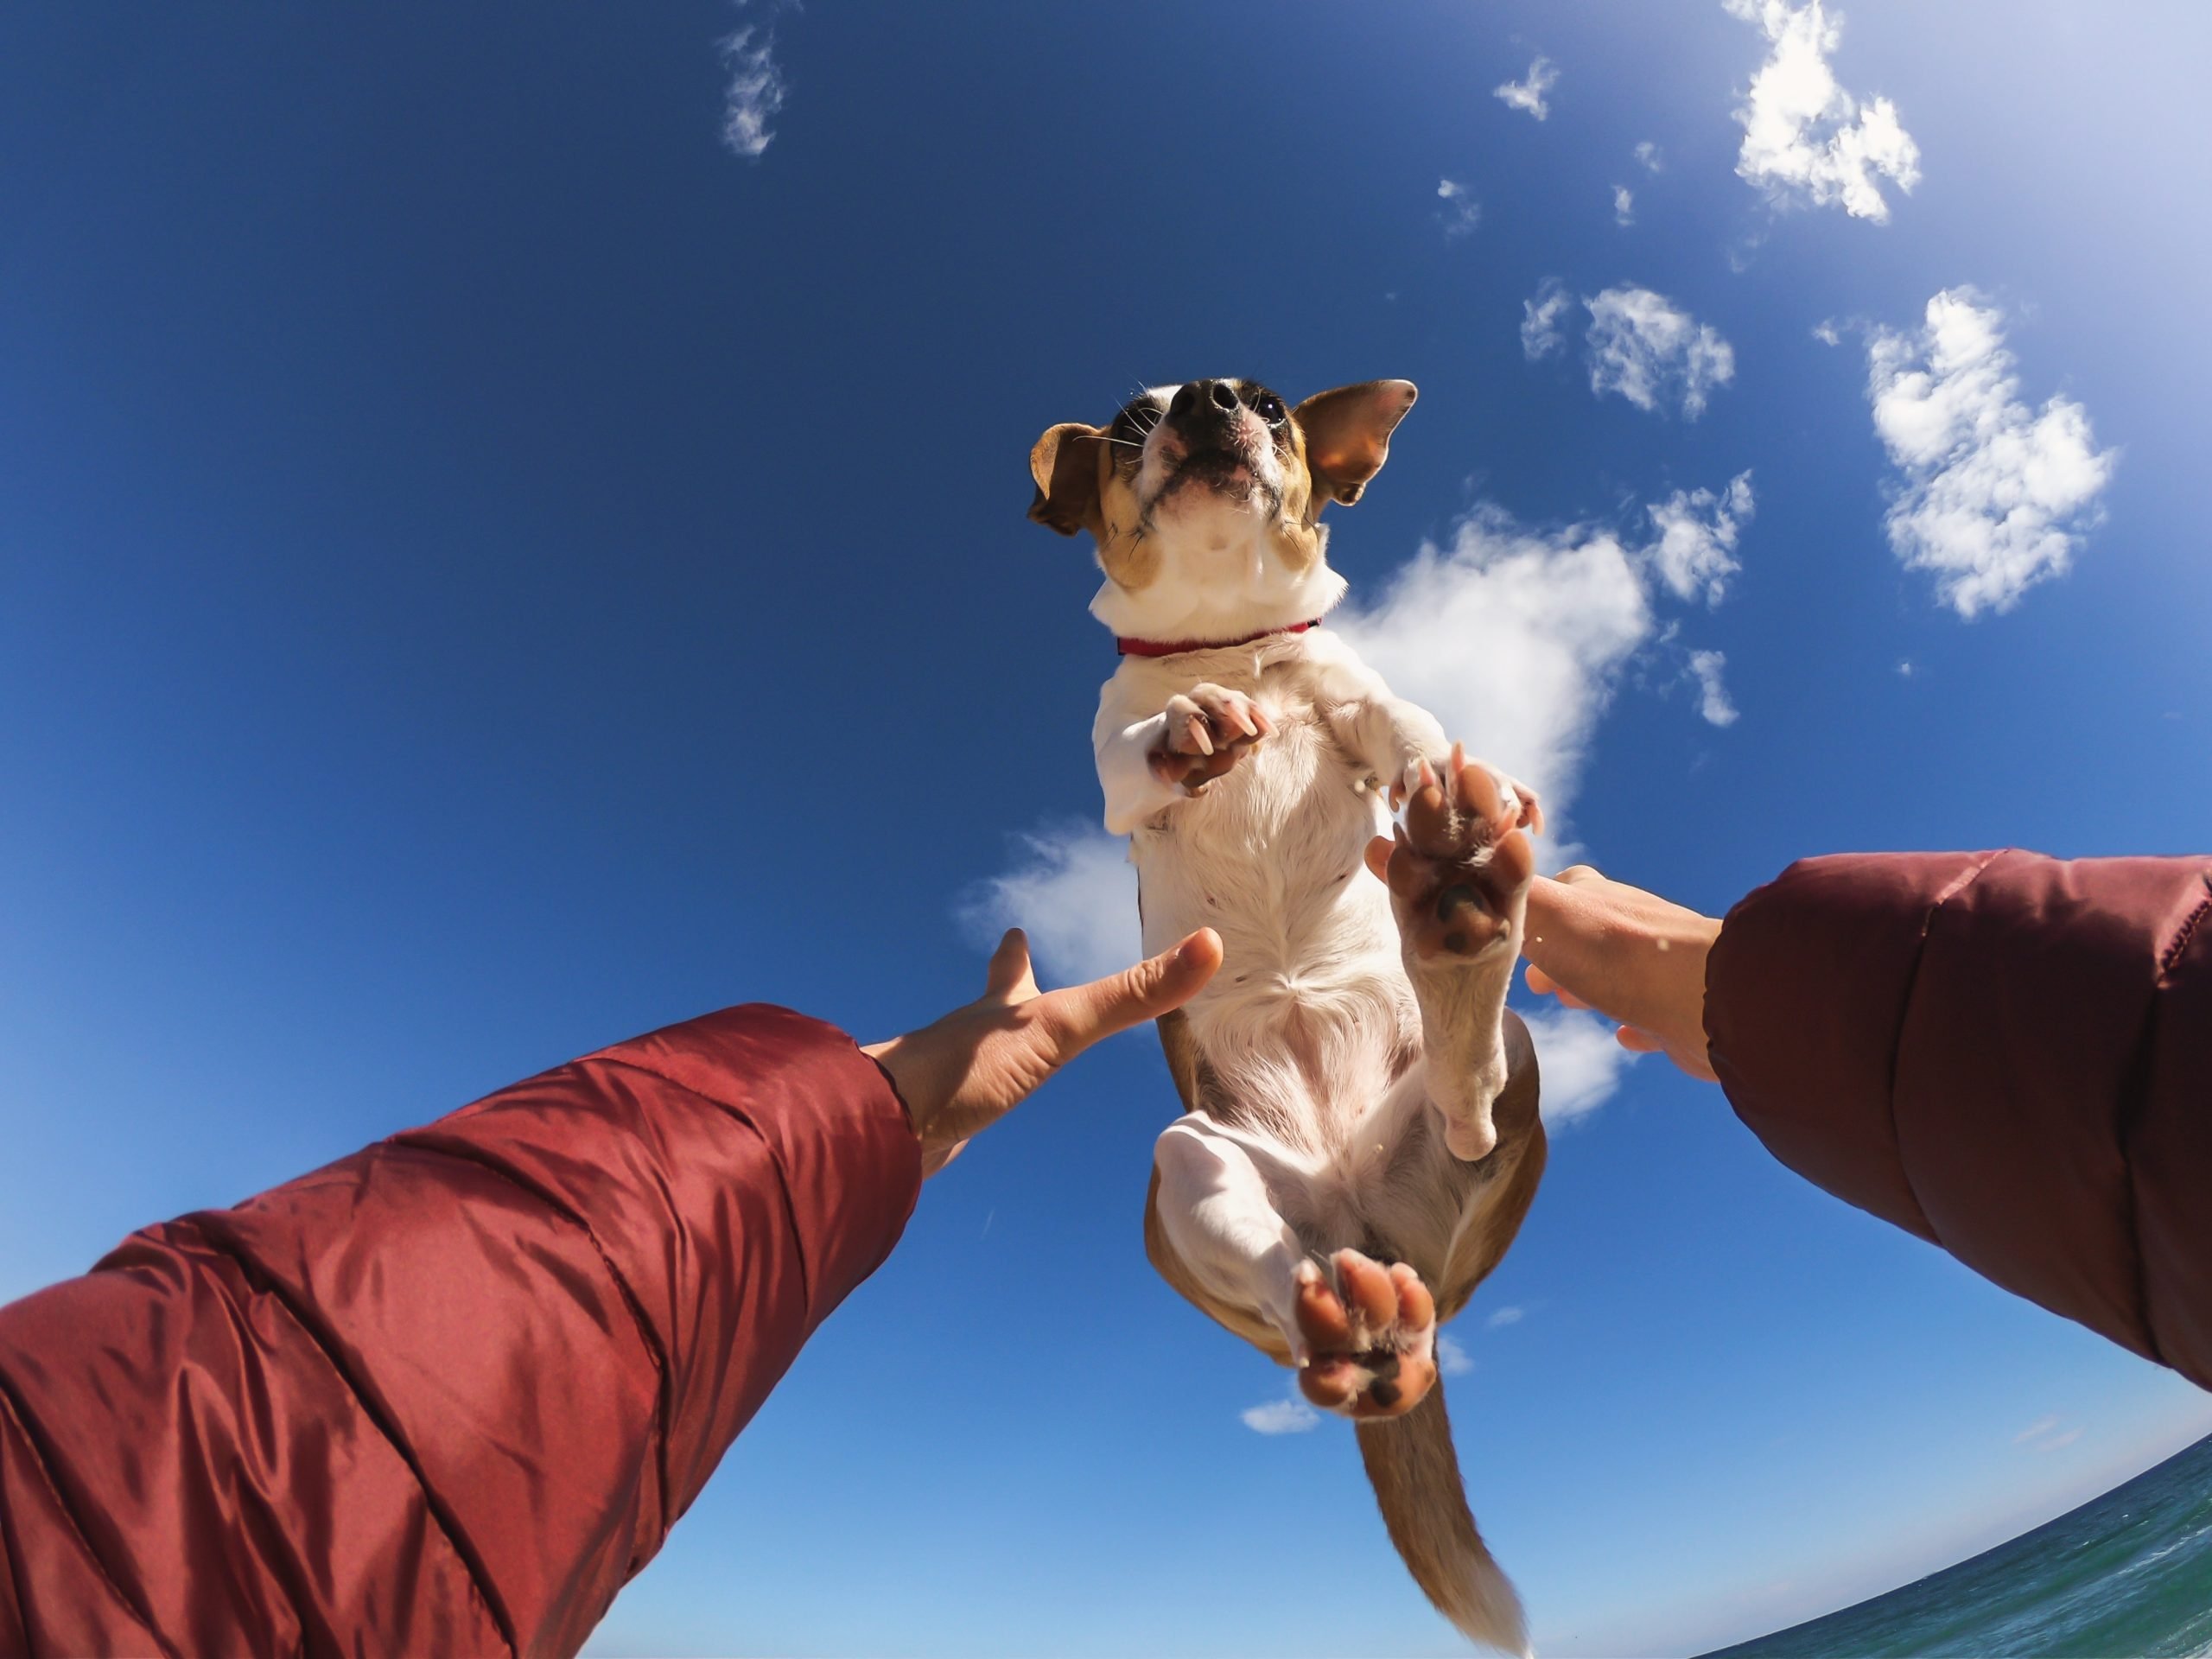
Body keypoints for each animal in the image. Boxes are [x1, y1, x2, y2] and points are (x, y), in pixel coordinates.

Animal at [1026, 382, 1548, 1654]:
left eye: (1270, 402)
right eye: (1130, 415)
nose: (1213, 401)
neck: (1231, 644)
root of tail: (1372, 1237)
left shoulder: (1357, 705)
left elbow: (1401, 719)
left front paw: (1451, 785)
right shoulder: (1111, 772)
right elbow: (1136, 750)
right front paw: (1188, 730)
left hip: (1497, 1082)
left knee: (1469, 1102)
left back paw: (1456, 911)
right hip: (1191, 1175)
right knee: (1284, 1278)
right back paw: (1347, 1328)